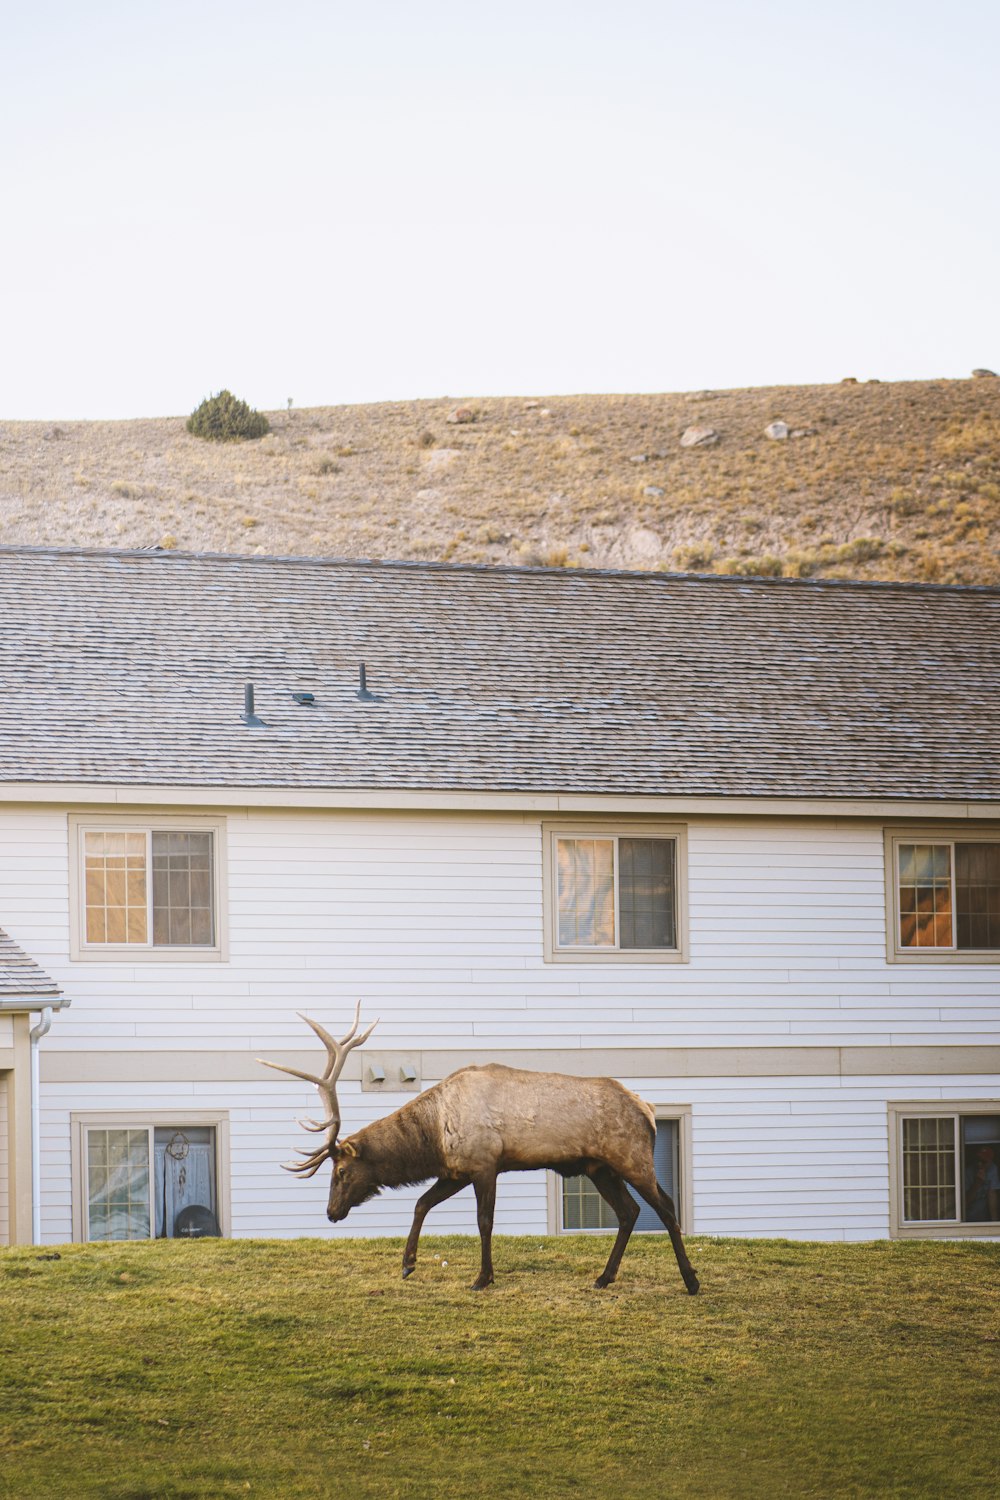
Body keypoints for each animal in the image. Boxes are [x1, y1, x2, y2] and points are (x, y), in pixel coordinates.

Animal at [260, 1008, 695, 1290]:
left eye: (340, 1171)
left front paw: (483, 1278)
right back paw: (604, 1277)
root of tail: (648, 1109)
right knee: (629, 1211)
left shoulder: (486, 1164)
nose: (331, 1213)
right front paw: (407, 1264)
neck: (434, 1135)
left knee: (665, 1206)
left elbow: (484, 1221)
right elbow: (421, 1203)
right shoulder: (456, 1170)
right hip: (598, 1168)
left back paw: (690, 1280)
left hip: (632, 1157)